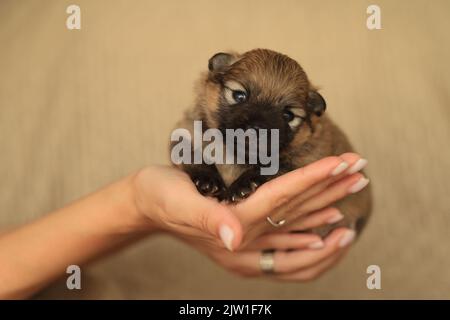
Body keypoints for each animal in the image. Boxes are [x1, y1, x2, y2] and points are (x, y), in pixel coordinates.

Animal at [171, 49, 370, 235]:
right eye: (239, 96)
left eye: (288, 115)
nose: (257, 128)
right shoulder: (186, 133)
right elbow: (193, 156)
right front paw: (207, 180)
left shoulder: (303, 159)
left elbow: (271, 168)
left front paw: (244, 184)